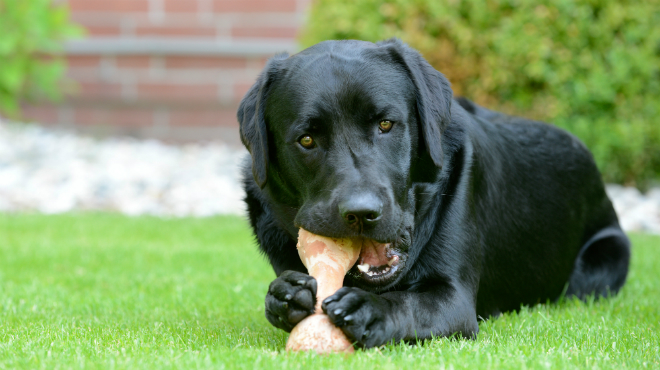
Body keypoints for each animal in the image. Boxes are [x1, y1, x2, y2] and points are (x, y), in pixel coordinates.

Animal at [237, 39, 628, 348]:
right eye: (306, 139)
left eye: (386, 124)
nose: (361, 213)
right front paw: (286, 295)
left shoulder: (454, 299)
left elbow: (408, 303)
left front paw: (368, 310)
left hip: (608, 256)